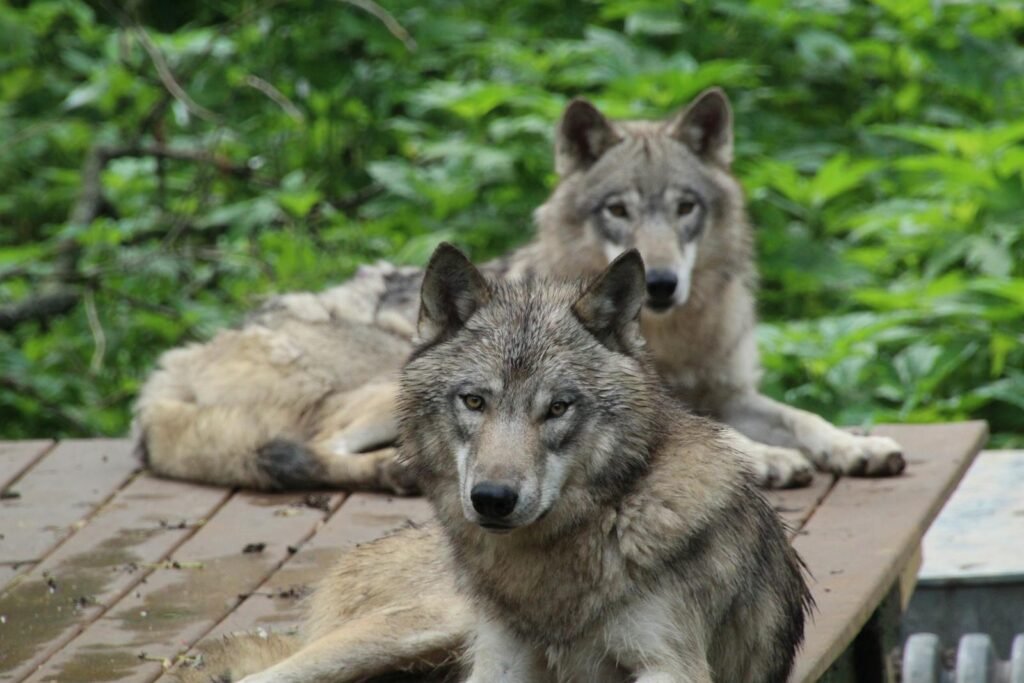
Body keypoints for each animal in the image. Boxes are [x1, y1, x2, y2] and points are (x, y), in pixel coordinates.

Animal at [136, 87, 905, 492]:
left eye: (685, 207)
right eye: (617, 209)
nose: (661, 282)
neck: (672, 337)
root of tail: (166, 371)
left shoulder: (728, 389)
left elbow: (801, 415)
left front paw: (852, 444)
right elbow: (726, 435)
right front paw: (770, 459)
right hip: (382, 388)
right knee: (310, 449)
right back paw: (399, 470)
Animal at [177, 244, 812, 683]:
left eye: (557, 407)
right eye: (475, 401)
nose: (492, 499)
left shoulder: (671, 664)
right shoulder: (502, 660)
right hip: (405, 634)